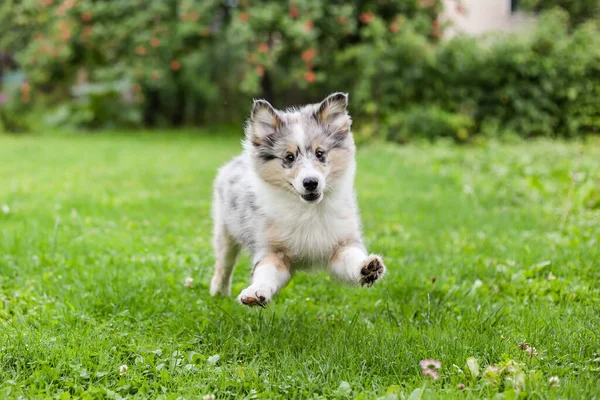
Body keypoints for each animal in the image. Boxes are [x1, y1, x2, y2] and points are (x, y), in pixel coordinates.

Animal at [211, 93, 386, 306]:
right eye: (289, 157)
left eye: (320, 153)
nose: (310, 183)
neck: (308, 210)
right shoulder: (271, 250)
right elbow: (266, 272)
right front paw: (255, 292)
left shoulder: (342, 243)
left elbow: (351, 258)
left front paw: (367, 267)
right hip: (224, 232)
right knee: (224, 266)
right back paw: (218, 293)